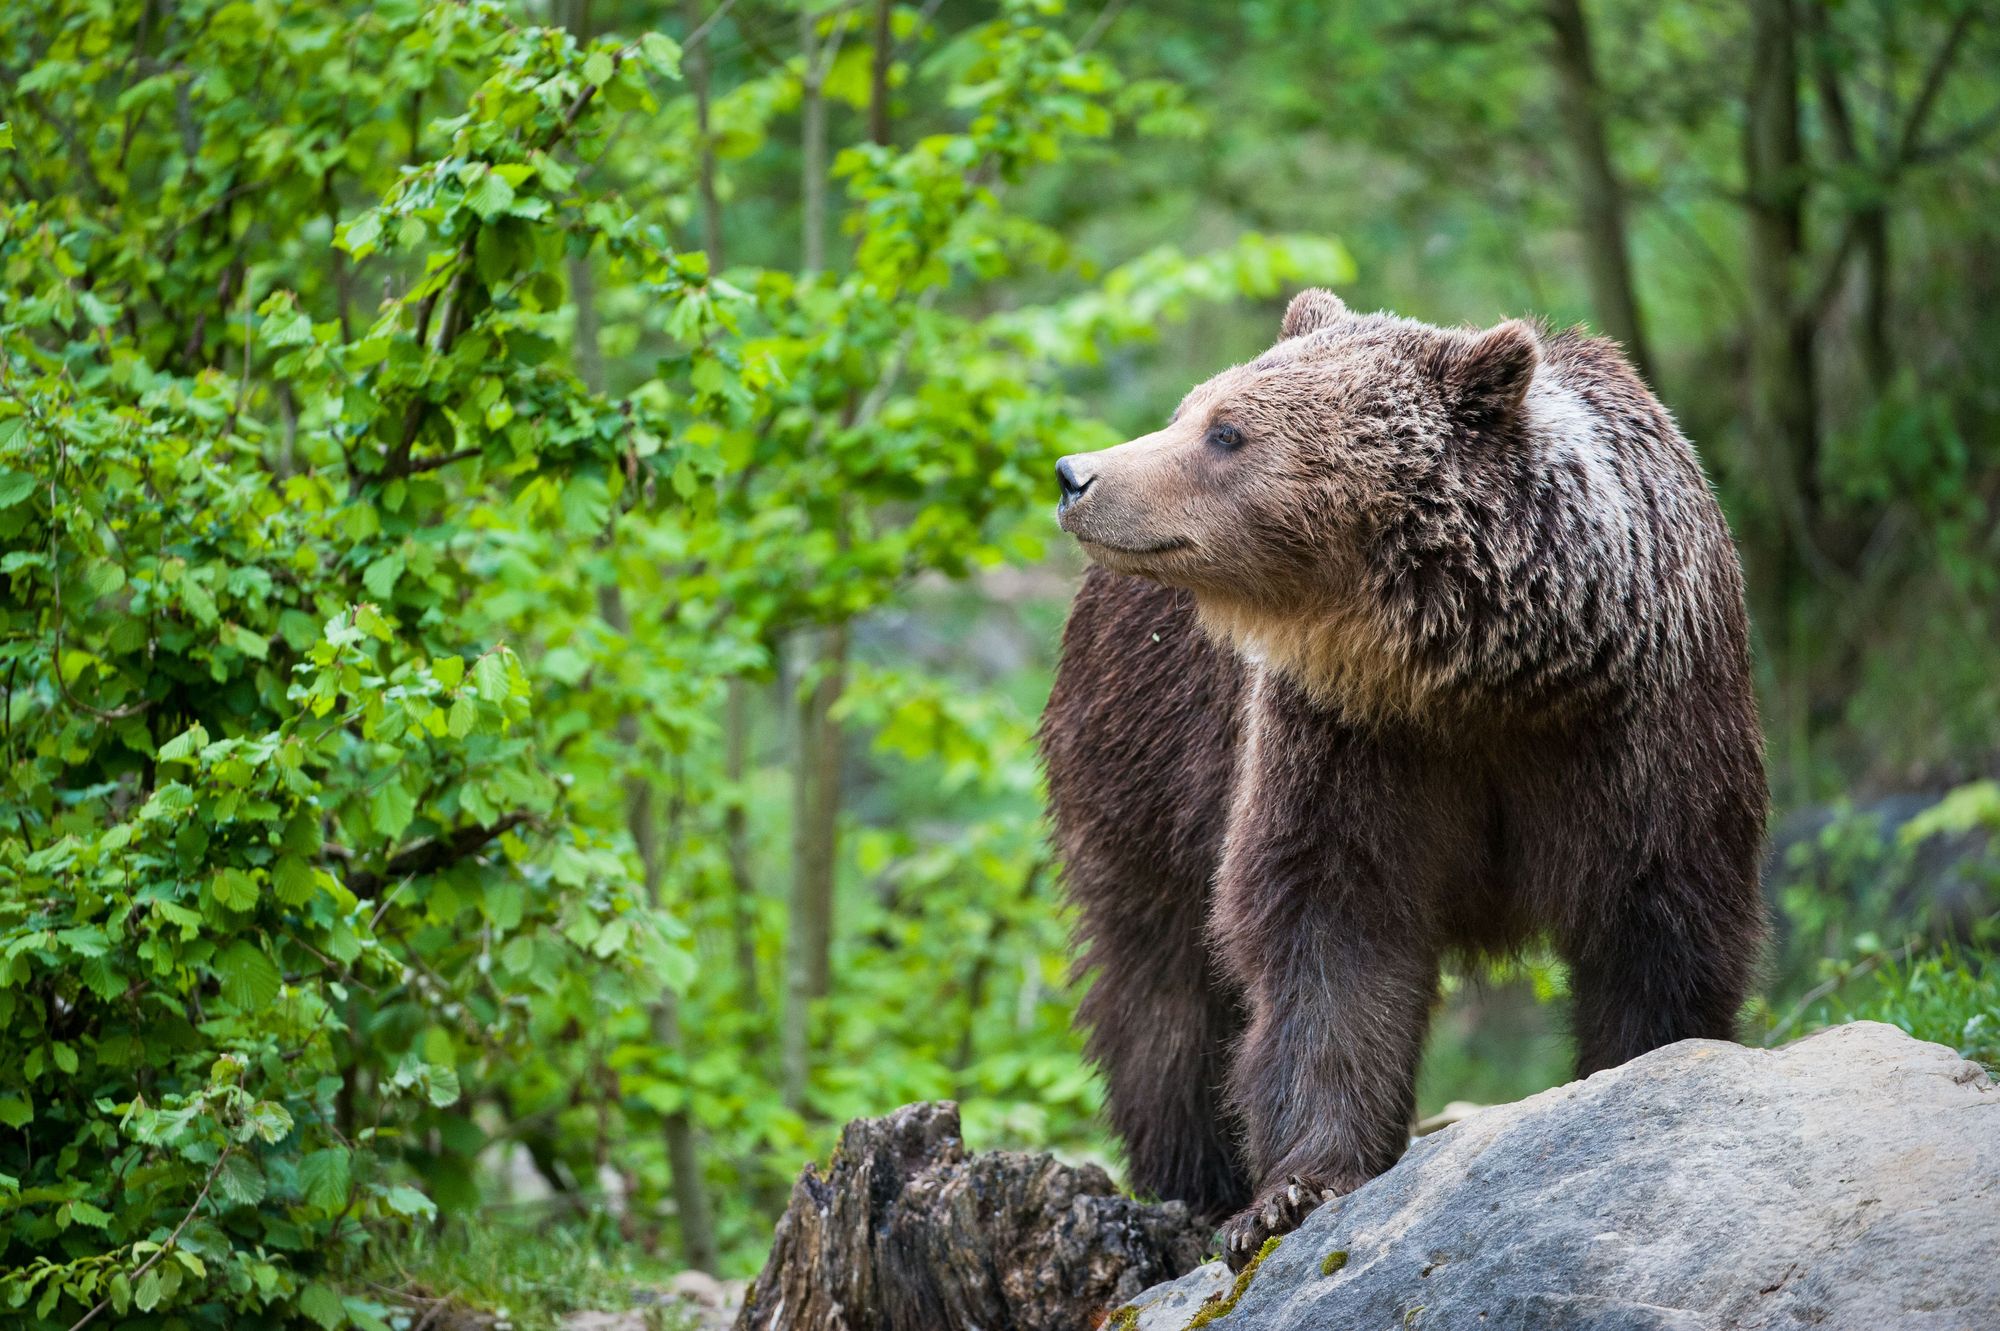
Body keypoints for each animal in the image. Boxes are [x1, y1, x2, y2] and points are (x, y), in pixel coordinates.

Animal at [1040, 289, 1776, 1263]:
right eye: (1192, 409)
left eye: (1226, 430)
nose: (1075, 473)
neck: (1486, 676)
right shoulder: (1347, 741)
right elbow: (1332, 933)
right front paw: (1291, 1192)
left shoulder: (1644, 727)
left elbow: (1659, 918)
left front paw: (1639, 1071)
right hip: (1142, 760)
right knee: (1161, 983)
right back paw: (1194, 1179)